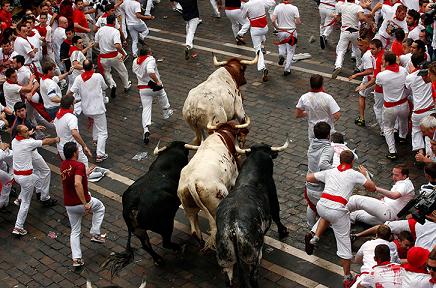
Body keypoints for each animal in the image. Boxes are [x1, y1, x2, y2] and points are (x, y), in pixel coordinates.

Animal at [100, 141, 198, 276]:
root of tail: (132, 205)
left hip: (138, 230)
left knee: (146, 245)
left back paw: (158, 260)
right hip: (165, 225)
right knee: (165, 242)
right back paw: (180, 248)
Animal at [177, 119, 250, 250]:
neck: (223, 135)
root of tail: (192, 180)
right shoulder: (234, 178)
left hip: (188, 207)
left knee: (195, 231)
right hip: (216, 205)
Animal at [215, 140, 290, 288]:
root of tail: (232, 230)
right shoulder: (273, 194)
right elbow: (276, 215)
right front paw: (283, 231)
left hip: (225, 260)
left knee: (228, 280)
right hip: (253, 257)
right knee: (252, 278)